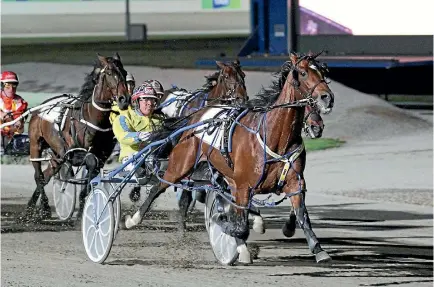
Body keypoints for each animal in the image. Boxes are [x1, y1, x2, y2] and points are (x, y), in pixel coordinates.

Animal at [125, 51, 336, 266]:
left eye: (323, 72)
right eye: (303, 72)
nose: (327, 98)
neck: (274, 135)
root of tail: (195, 117)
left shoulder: (293, 182)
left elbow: (301, 215)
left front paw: (318, 249)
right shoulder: (243, 186)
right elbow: (236, 223)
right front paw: (225, 225)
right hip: (181, 164)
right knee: (158, 187)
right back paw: (134, 219)